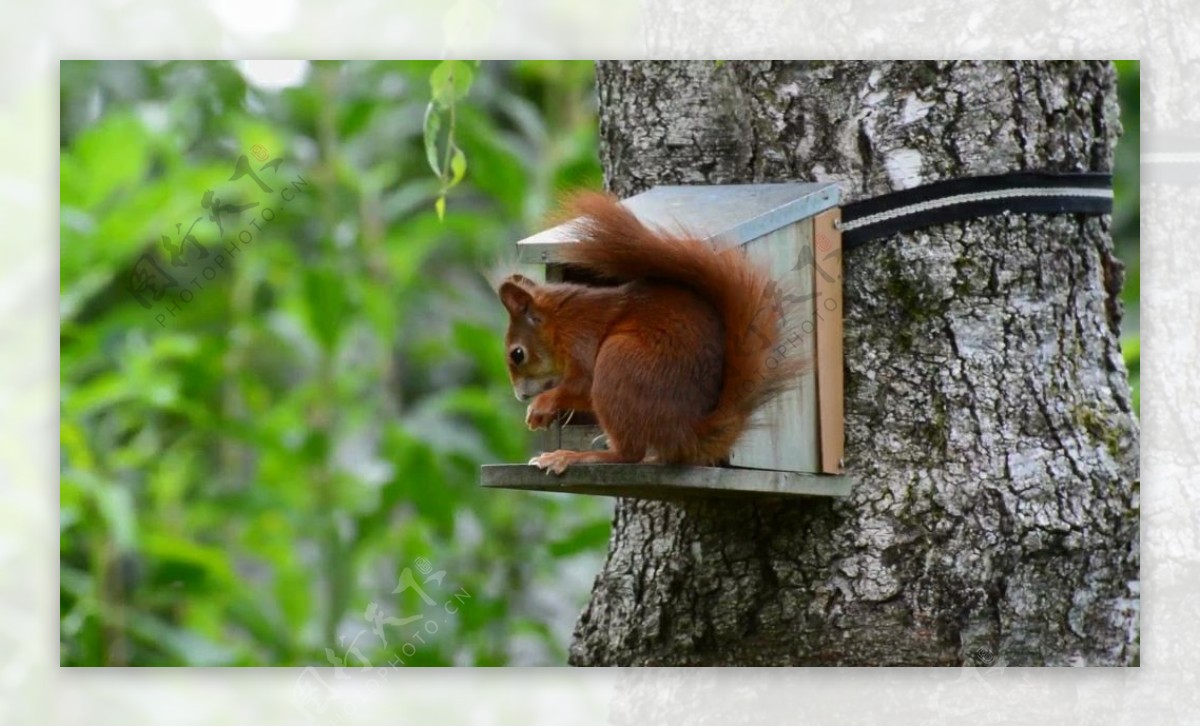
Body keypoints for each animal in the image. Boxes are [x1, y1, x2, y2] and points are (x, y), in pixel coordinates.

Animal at [496, 194, 806, 475]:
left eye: (517, 354)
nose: (520, 396)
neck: (560, 322)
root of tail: (687, 433)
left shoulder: (581, 338)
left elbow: (582, 384)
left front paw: (542, 406)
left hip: (619, 361)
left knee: (628, 454)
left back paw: (572, 456)